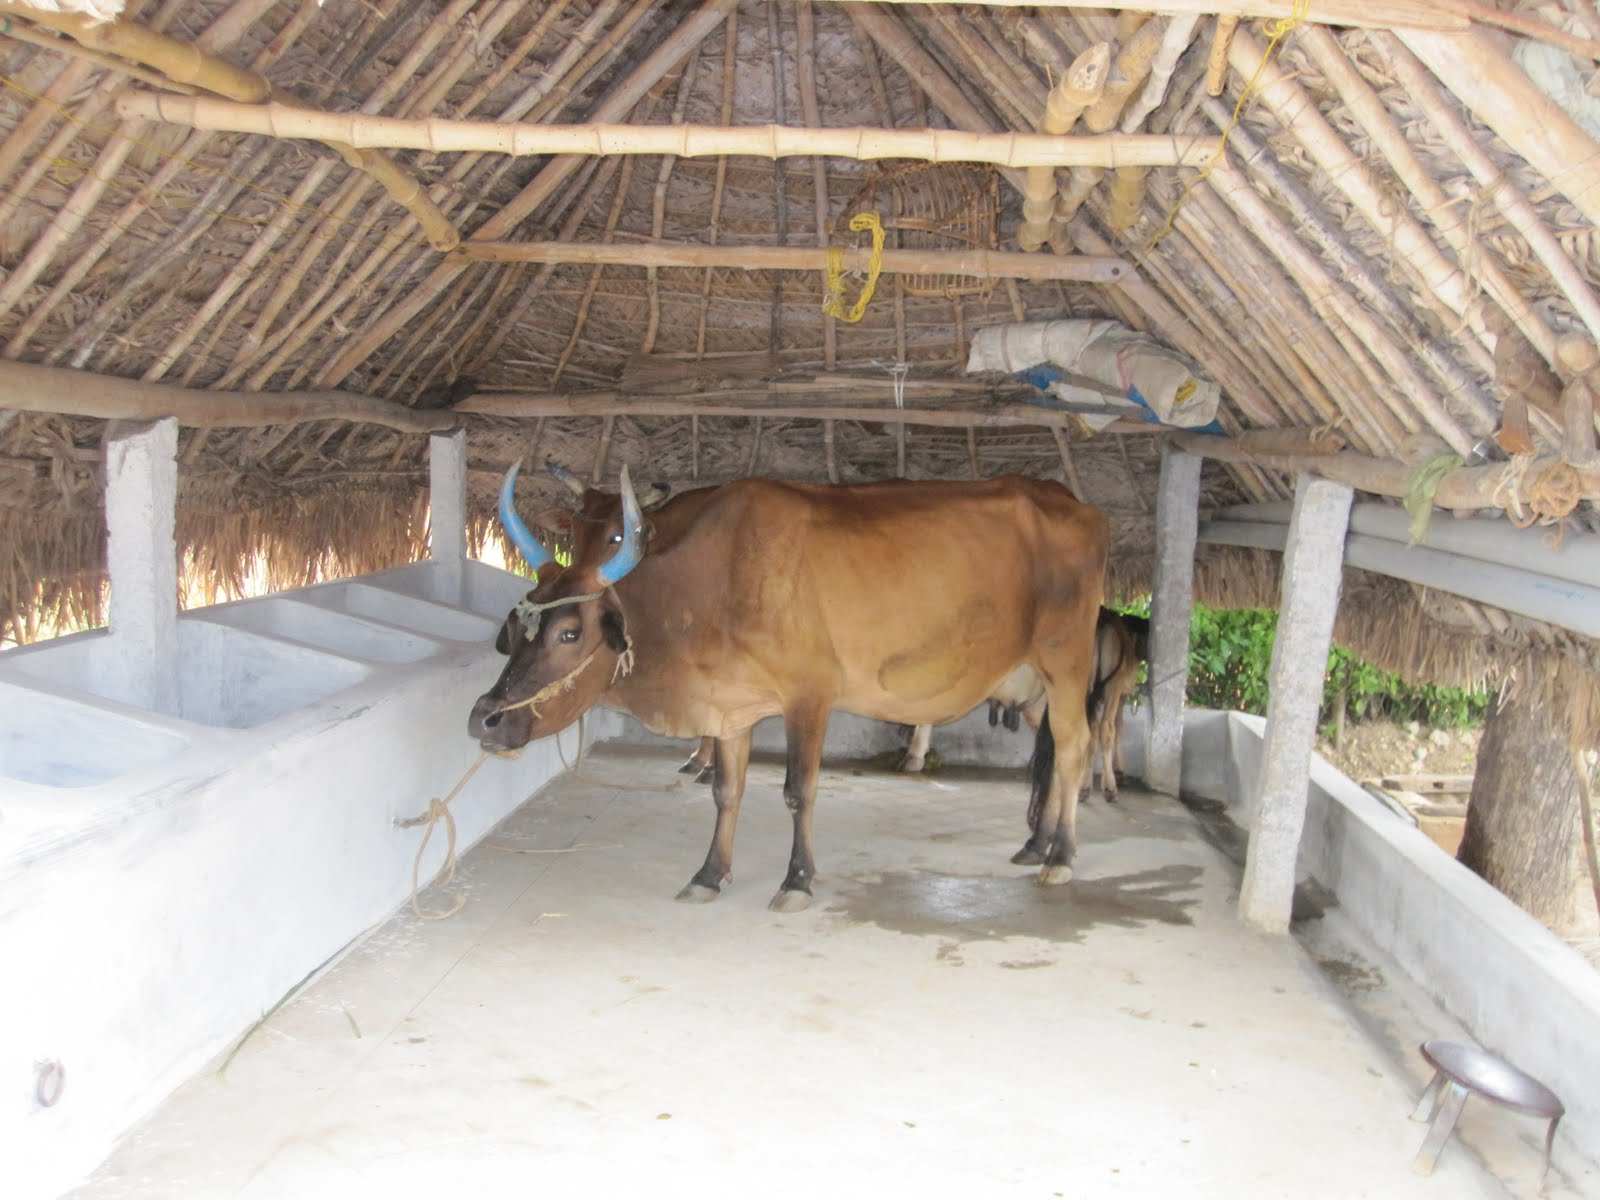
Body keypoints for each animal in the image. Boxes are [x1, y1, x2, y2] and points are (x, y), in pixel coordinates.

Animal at [468, 463, 1109, 912]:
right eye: (517, 623)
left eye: (570, 632)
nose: (484, 718)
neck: (714, 582)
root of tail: (1080, 507)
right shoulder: (731, 707)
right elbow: (726, 792)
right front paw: (709, 874)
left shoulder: (809, 697)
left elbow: (798, 792)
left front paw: (797, 879)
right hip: (1033, 685)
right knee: (1053, 753)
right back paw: (1037, 845)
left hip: (1066, 662)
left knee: (1074, 748)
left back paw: (1061, 857)